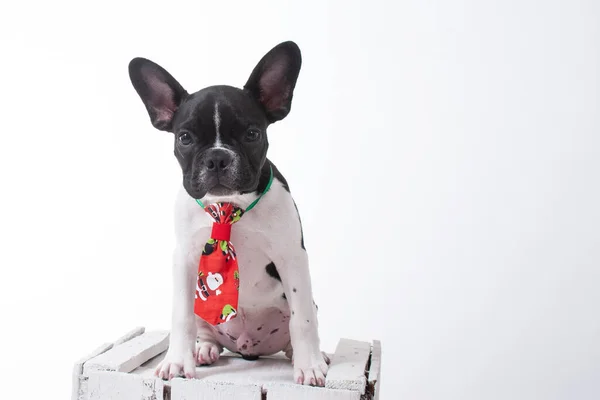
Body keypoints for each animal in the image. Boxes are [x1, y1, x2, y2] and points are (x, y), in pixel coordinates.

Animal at [128, 41, 330, 388]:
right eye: (184, 138)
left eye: (252, 134)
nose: (217, 158)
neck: (229, 206)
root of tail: (249, 349)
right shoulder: (185, 259)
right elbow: (181, 317)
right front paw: (177, 362)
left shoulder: (291, 256)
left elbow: (302, 319)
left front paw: (310, 367)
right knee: (205, 331)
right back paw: (204, 350)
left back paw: (302, 355)